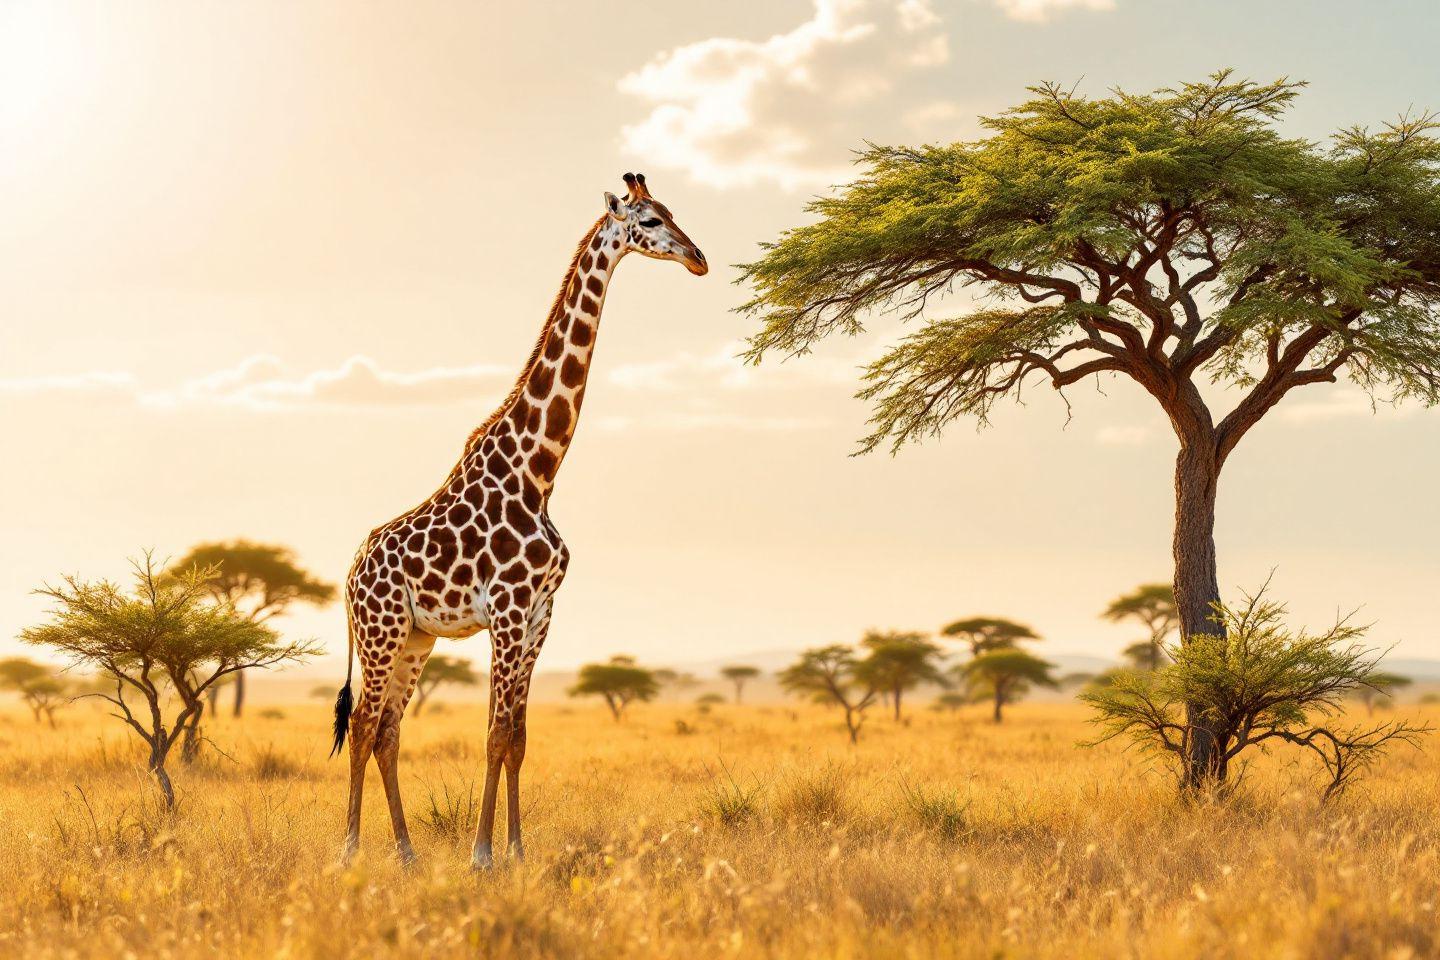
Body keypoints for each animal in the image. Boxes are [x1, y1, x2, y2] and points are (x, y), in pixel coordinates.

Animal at [331, 173, 706, 868]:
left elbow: (519, 737)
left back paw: (406, 853)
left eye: (672, 211)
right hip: (381, 630)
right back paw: (348, 851)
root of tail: (349, 575)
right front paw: (481, 855)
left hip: (417, 639)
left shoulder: (540, 615)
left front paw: (518, 851)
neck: (540, 472)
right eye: (648, 219)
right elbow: (493, 734)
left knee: (389, 732)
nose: (699, 257)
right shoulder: (506, 611)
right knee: (365, 727)